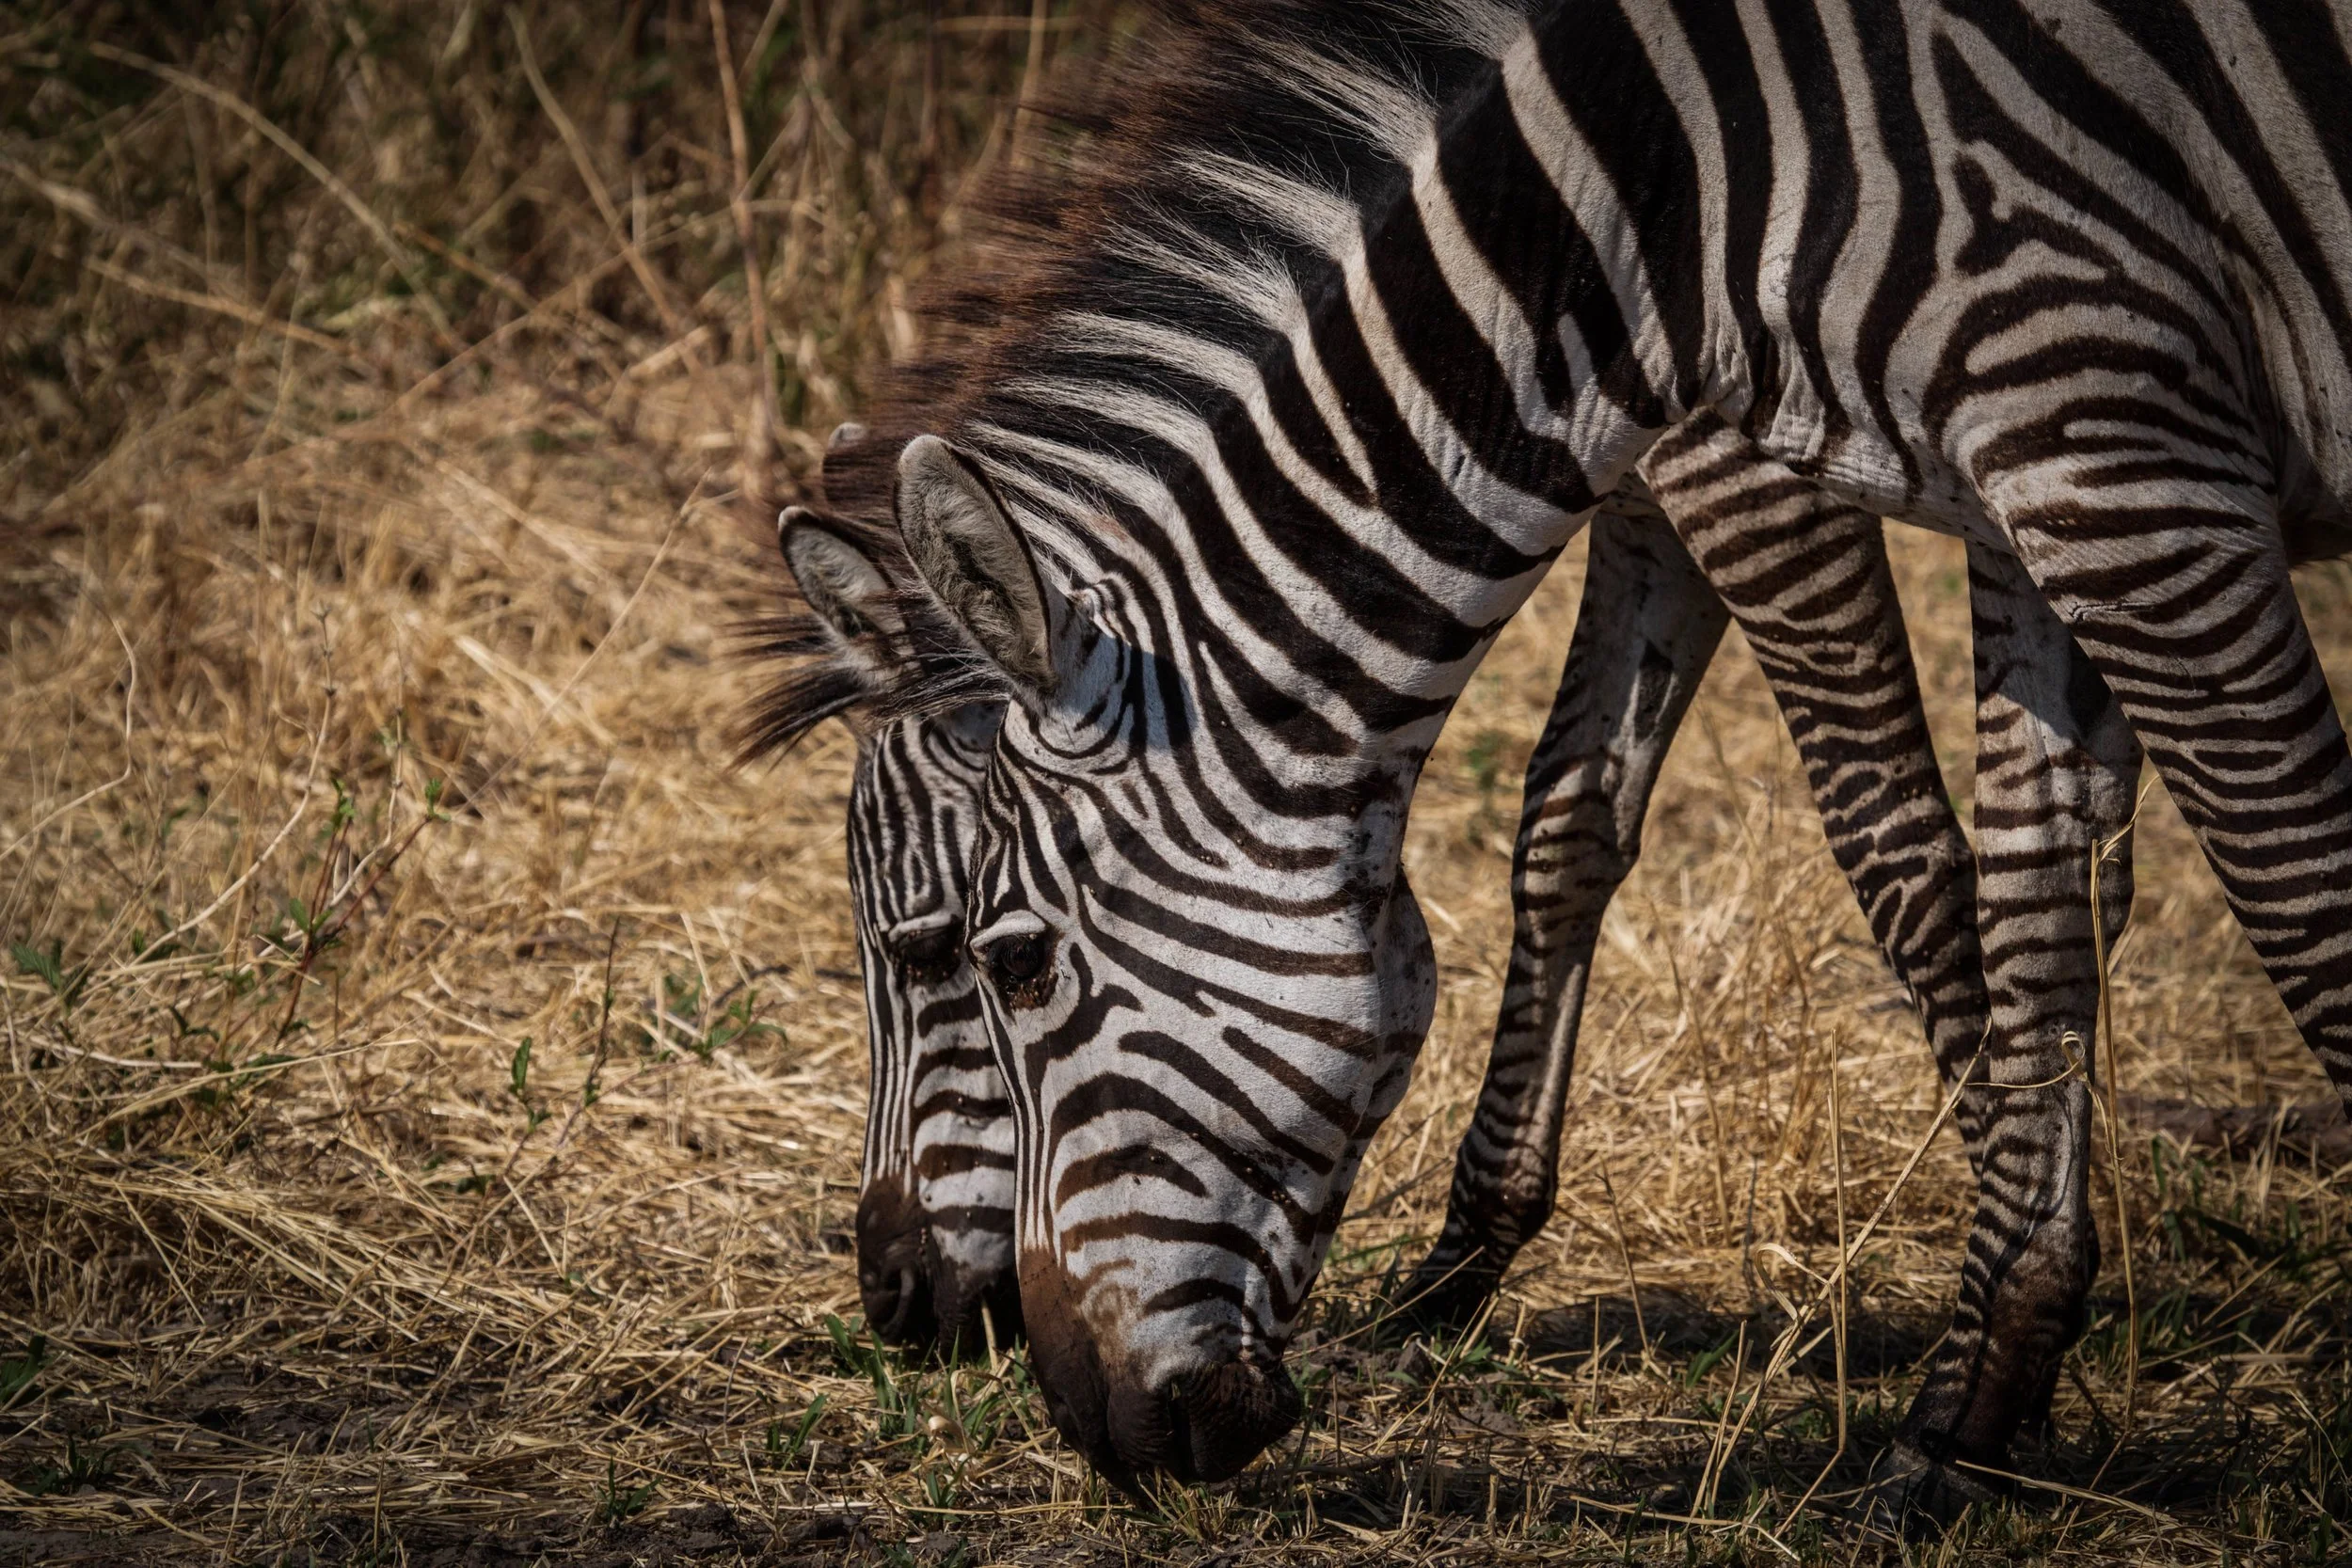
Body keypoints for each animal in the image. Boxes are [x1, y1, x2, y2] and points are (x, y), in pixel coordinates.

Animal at [750, 0, 2352, 1507]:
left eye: (981, 958)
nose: (897, 1302)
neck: (1656, 200)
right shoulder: (1881, 474)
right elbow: (1598, 823)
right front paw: (1473, 1258)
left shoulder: (2080, 455)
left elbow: (1962, 852)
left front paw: (2034, 1265)